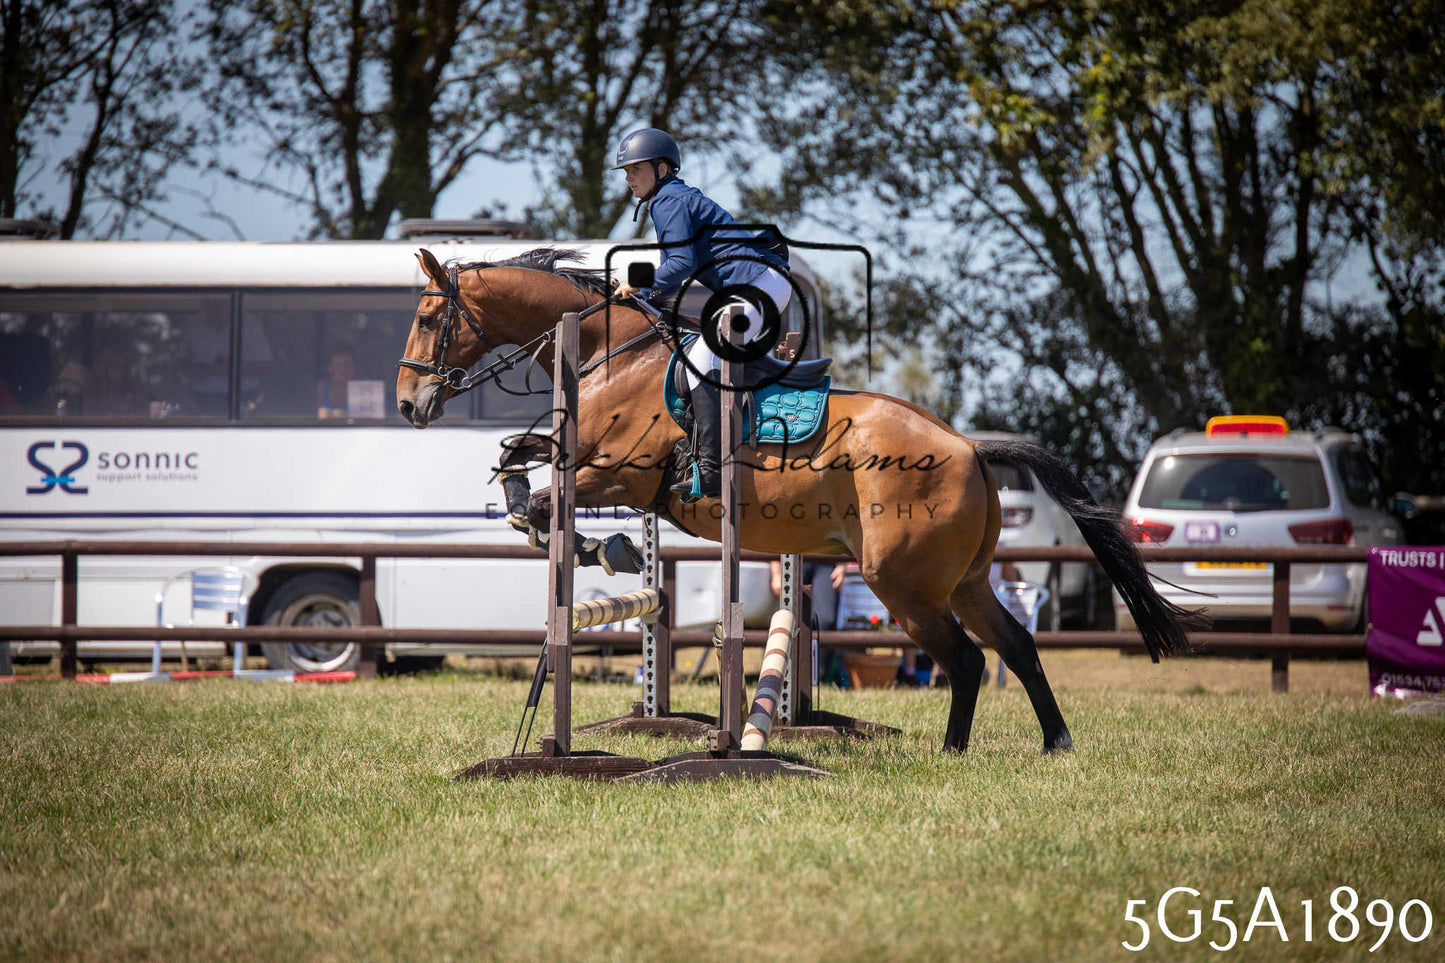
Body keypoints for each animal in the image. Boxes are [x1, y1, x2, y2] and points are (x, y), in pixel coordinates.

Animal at [396, 247, 1191, 754]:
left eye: (430, 320)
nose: (409, 404)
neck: (607, 353)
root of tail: (967, 445)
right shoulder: (579, 457)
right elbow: (514, 462)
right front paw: (564, 527)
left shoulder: (620, 474)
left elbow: (546, 505)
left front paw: (607, 546)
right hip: (962, 580)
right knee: (1017, 645)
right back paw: (1053, 742)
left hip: (900, 582)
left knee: (966, 660)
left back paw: (952, 752)